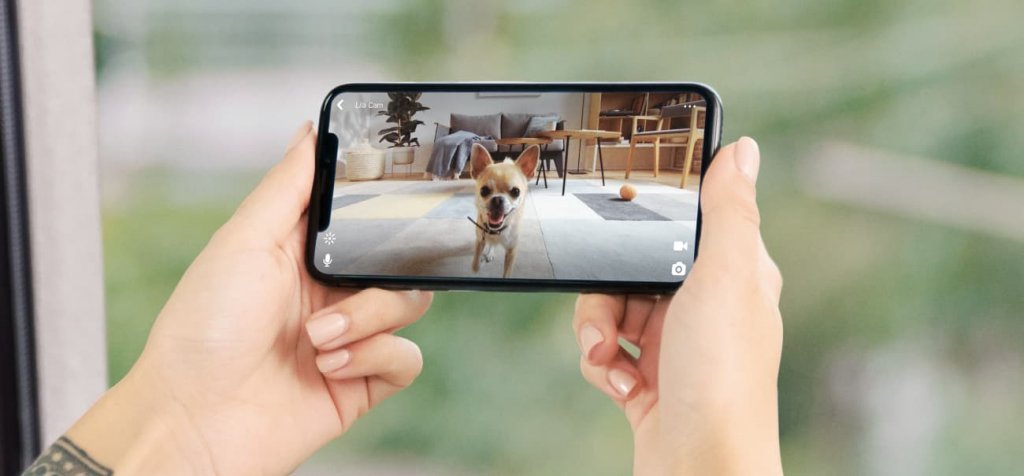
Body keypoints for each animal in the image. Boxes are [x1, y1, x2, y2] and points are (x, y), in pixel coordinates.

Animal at [468, 143, 540, 278]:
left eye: (516, 192)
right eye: (484, 190)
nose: (497, 199)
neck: (496, 232)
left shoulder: (512, 250)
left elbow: (507, 273)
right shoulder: (480, 239)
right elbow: (475, 261)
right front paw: (477, 266)